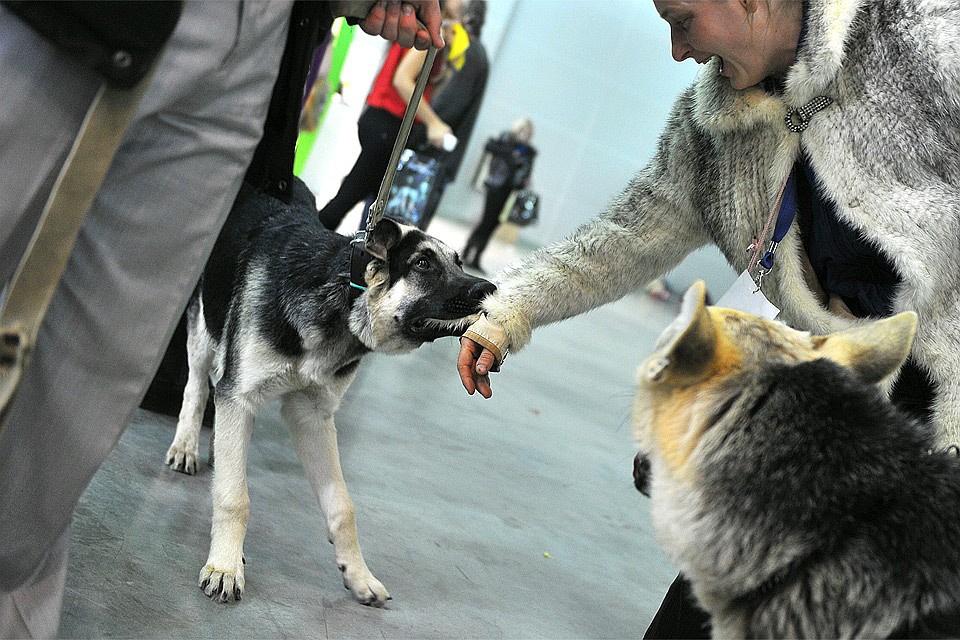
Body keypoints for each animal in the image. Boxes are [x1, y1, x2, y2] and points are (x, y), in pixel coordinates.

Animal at [165, 179, 496, 604]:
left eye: (458, 263)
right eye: (423, 264)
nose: (490, 287)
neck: (343, 294)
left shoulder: (312, 417)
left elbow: (342, 505)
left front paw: (358, 573)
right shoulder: (241, 395)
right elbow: (234, 497)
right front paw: (224, 565)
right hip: (204, 324)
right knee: (197, 386)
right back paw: (186, 445)